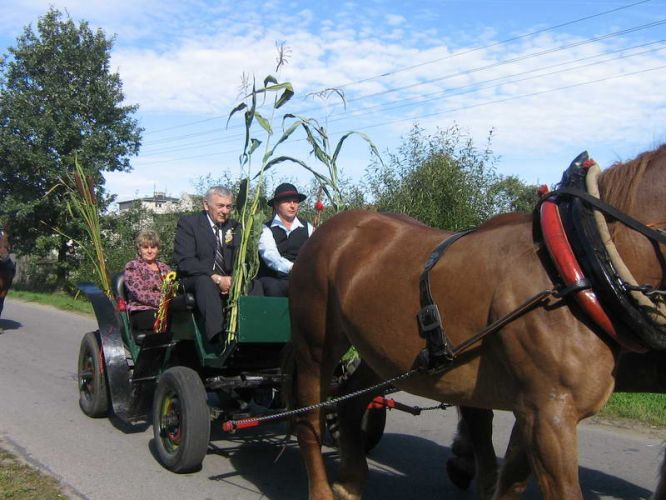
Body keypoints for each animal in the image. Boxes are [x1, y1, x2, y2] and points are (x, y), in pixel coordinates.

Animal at [284, 143, 664, 498]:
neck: (574, 264)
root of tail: (330, 229)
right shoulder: (549, 414)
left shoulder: (534, 412)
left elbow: (509, 481)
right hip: (315, 346)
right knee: (309, 419)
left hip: (380, 355)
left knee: (350, 402)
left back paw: (350, 482)